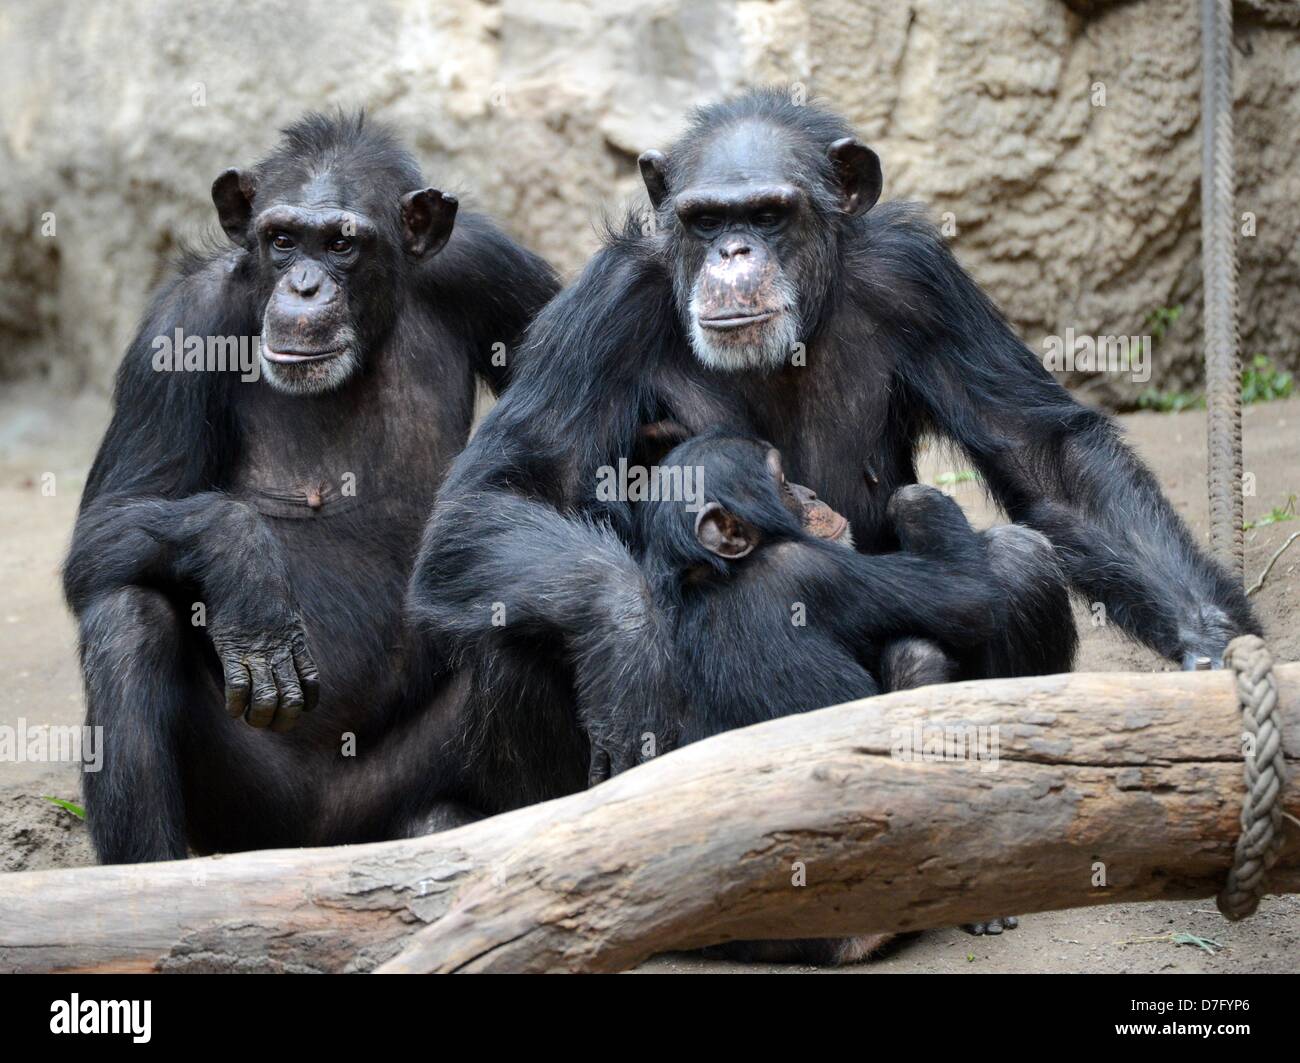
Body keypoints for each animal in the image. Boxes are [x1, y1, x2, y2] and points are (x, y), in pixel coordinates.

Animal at [64, 113, 559, 862]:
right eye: (282, 239)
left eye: (342, 244)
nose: (302, 286)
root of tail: (322, 841)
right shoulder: (178, 328)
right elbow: (108, 518)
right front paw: (243, 565)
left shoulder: (487, 263)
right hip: (249, 815)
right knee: (128, 618)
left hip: (389, 790)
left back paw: (453, 822)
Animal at [408, 87, 1258, 805]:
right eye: (705, 221)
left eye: (770, 214)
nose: (734, 254)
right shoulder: (605, 304)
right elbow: (504, 489)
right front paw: (629, 640)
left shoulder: (921, 277)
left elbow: (1045, 454)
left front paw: (1212, 645)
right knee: (507, 622)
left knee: (1019, 561)